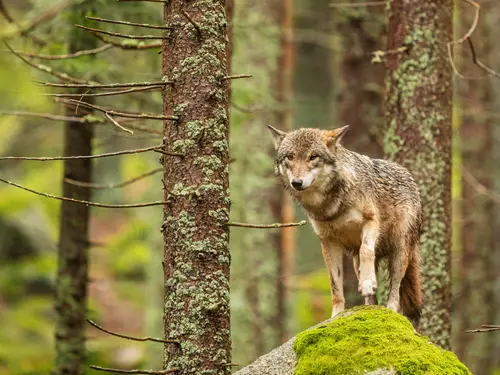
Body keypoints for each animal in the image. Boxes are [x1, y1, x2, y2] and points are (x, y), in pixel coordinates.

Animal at [270, 125, 422, 326]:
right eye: (290, 157)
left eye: (313, 157)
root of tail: (409, 175)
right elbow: (334, 283)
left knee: (395, 289)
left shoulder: (371, 222)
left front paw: (368, 283)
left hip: (399, 253)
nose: (297, 182)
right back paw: (369, 309)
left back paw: (390, 310)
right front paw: (336, 315)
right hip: (357, 262)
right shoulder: (328, 242)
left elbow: (366, 250)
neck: (330, 206)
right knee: (372, 295)